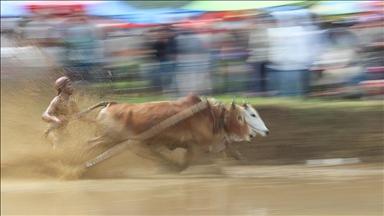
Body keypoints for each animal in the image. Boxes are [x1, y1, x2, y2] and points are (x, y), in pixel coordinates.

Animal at [87, 93, 255, 170]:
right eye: (240, 117)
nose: (251, 134)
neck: (210, 114)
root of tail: (112, 104)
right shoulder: (205, 143)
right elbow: (225, 142)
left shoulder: (194, 145)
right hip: (108, 138)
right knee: (89, 143)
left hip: (113, 141)